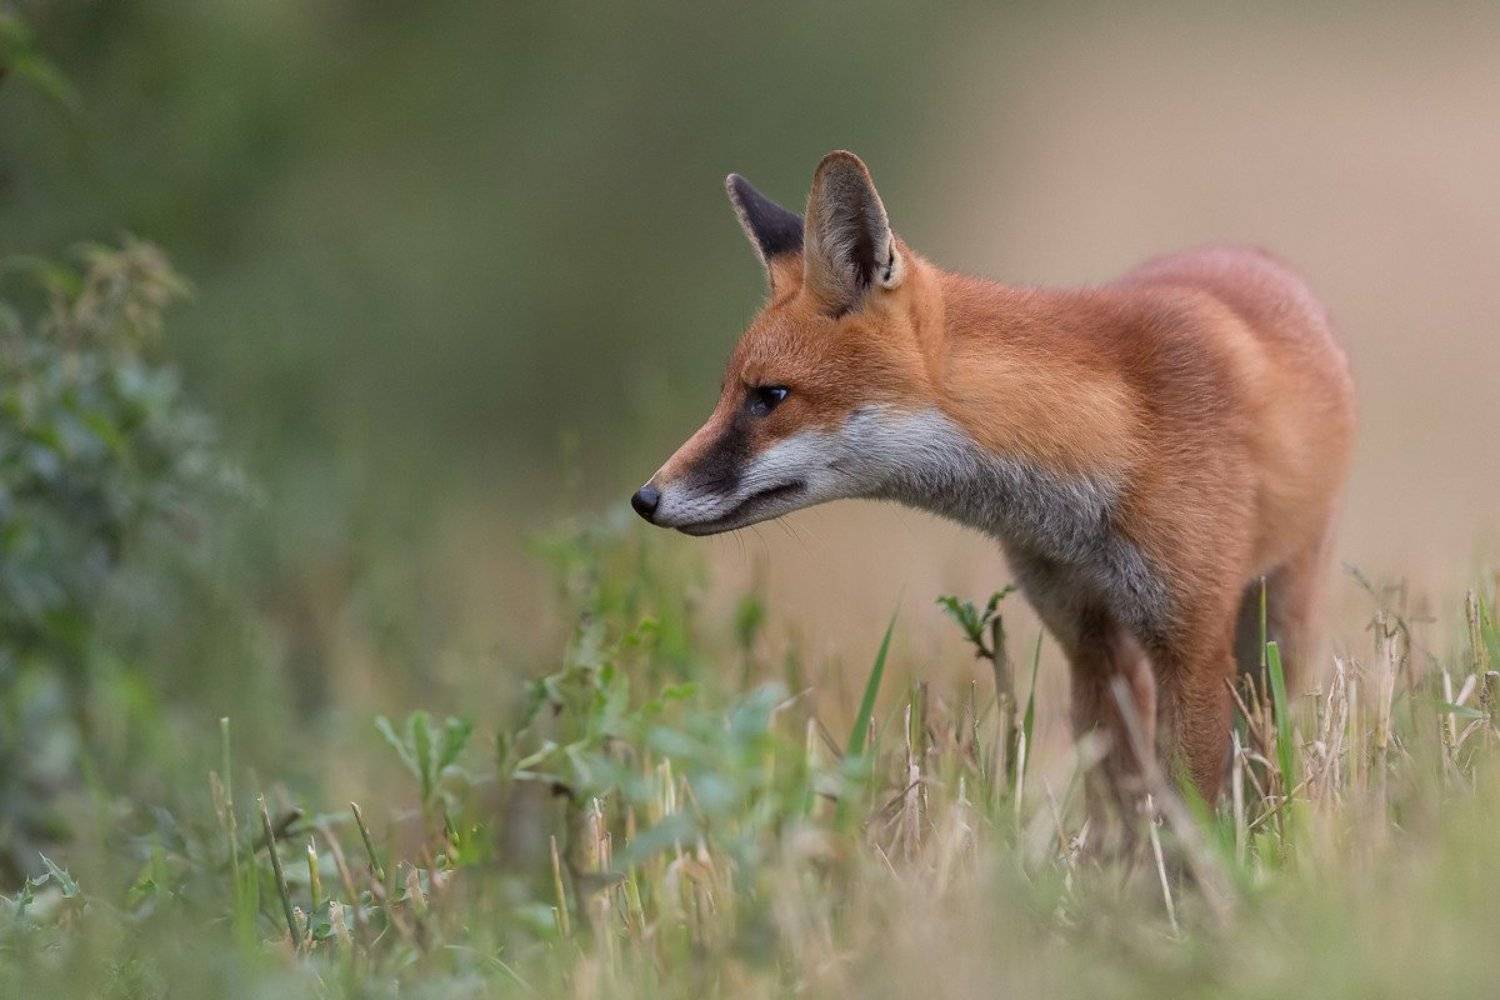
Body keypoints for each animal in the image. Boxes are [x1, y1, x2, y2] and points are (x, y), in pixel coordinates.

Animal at [631, 150, 1355, 807]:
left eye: (770, 396)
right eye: (728, 394)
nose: (644, 498)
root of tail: (1255, 255)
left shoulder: (1191, 643)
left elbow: (1191, 810)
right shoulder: (1088, 640)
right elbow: (1115, 813)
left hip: (1278, 618)